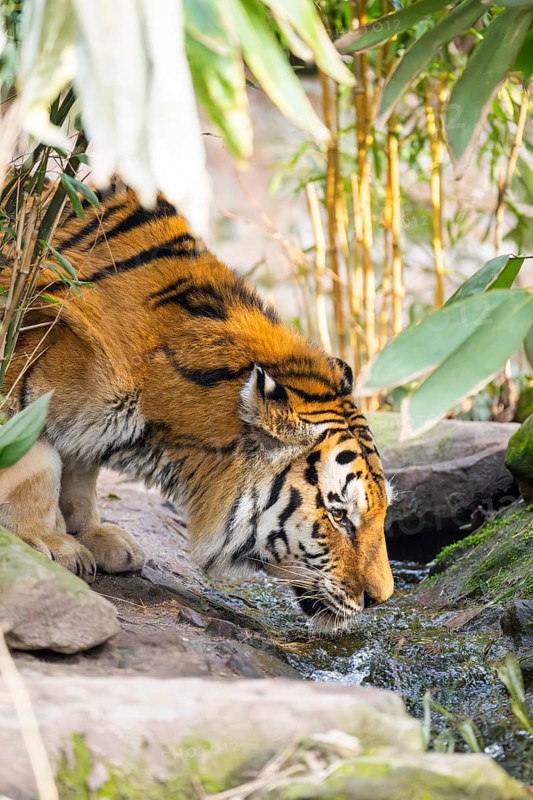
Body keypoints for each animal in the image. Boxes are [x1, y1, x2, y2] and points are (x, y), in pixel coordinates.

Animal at [0, 190, 394, 633]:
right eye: (339, 515)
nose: (381, 599)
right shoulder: (18, 361)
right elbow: (37, 465)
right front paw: (49, 544)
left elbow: (79, 468)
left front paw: (93, 535)